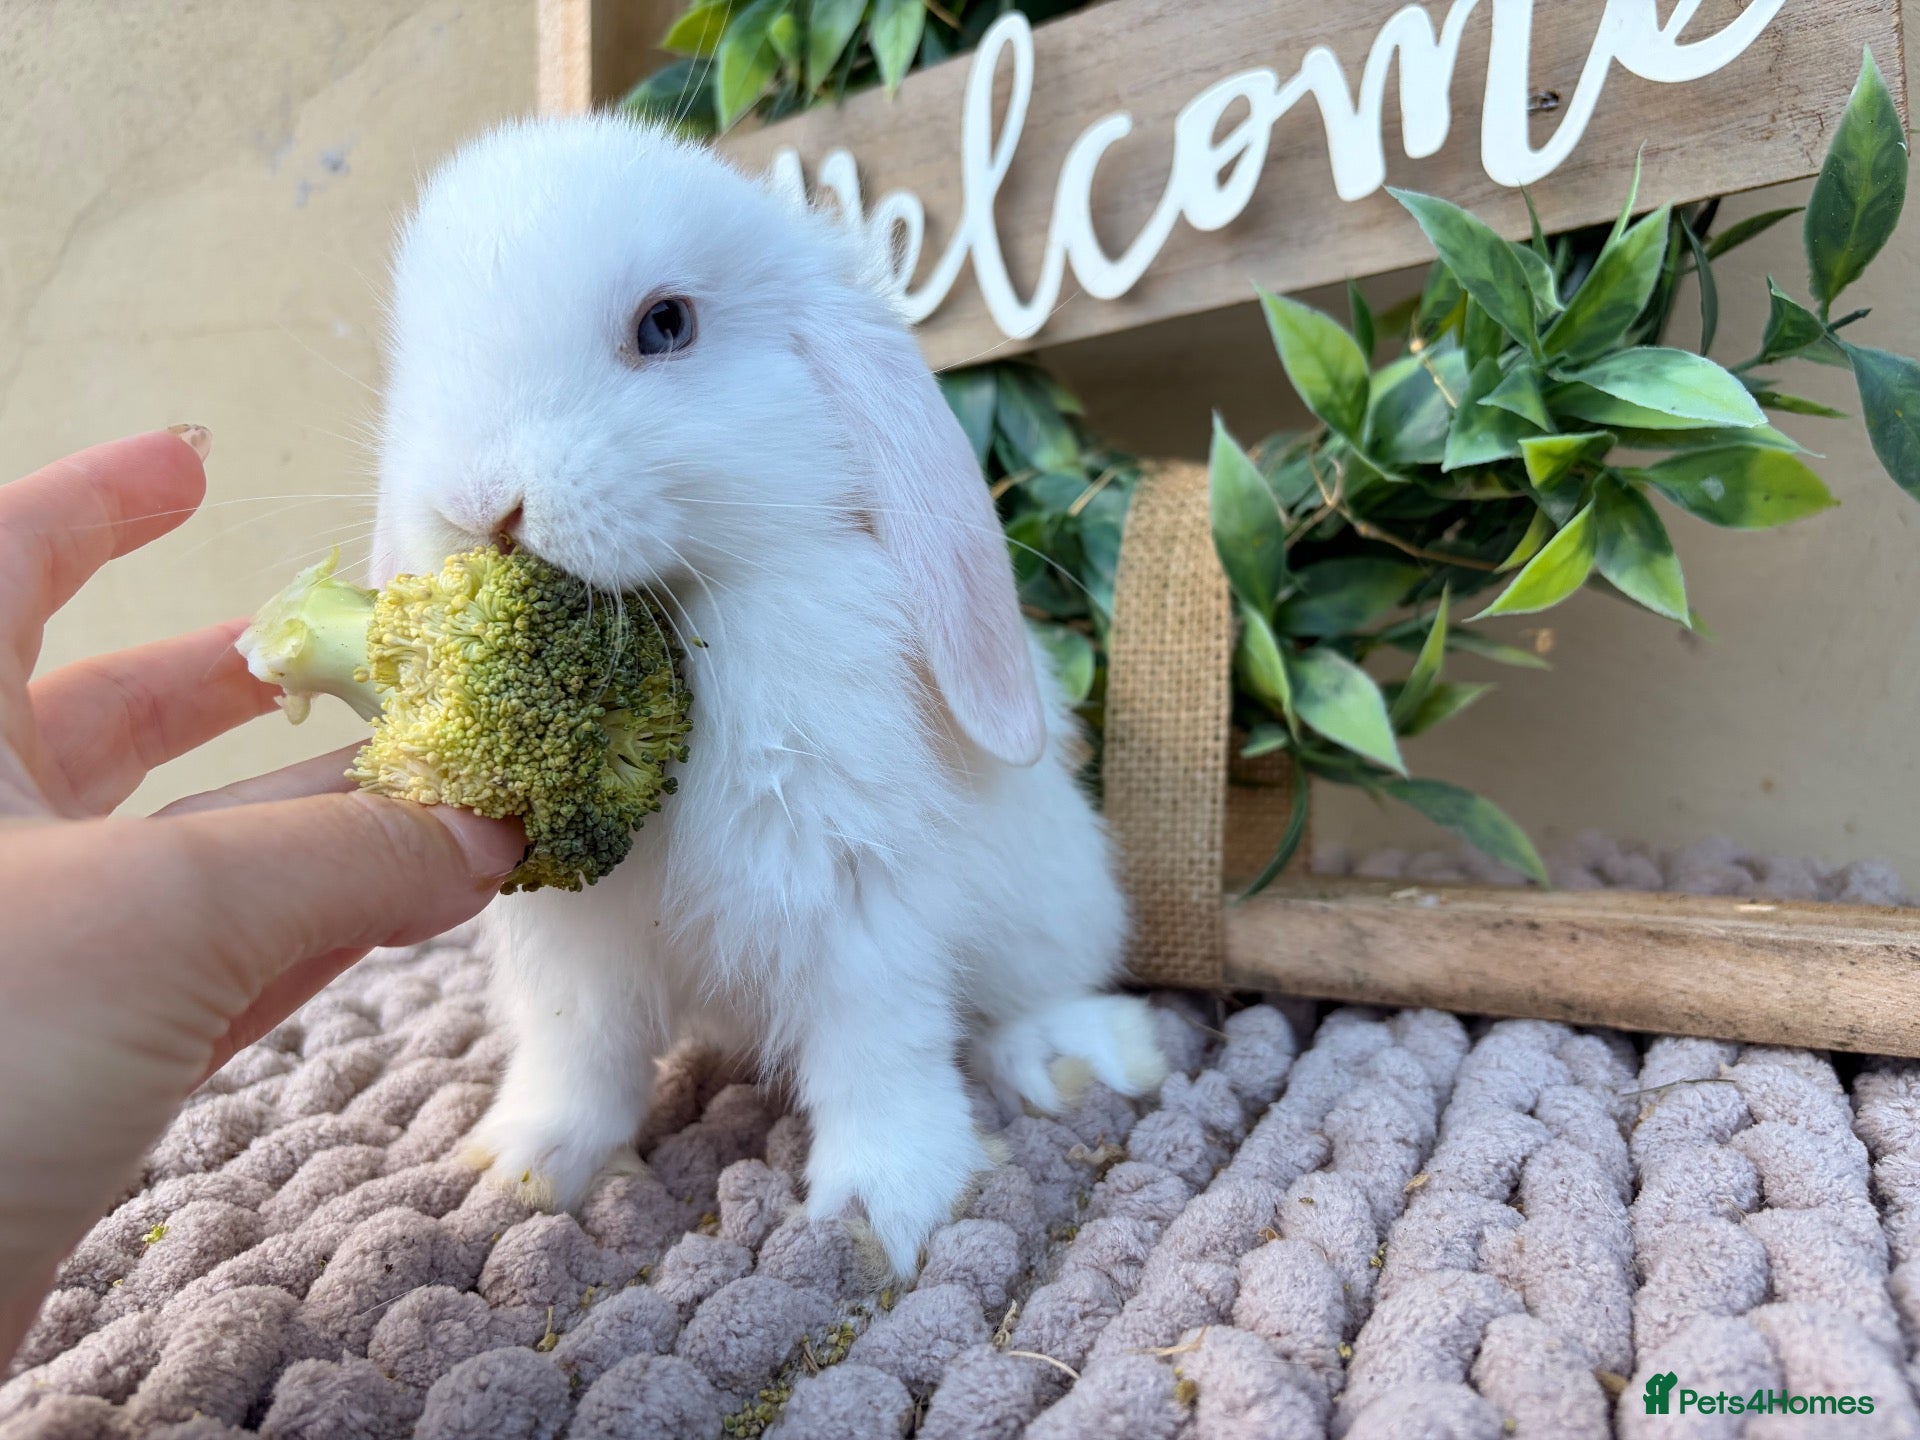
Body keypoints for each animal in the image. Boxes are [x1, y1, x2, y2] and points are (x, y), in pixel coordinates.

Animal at [370, 113, 1168, 1278]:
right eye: (414, 357)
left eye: (666, 325)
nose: (478, 506)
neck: (685, 625)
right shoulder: (575, 949)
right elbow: (579, 1056)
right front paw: (523, 1168)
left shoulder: (852, 888)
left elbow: (880, 1044)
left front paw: (893, 1208)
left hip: (1053, 905)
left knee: (1034, 989)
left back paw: (1073, 1056)